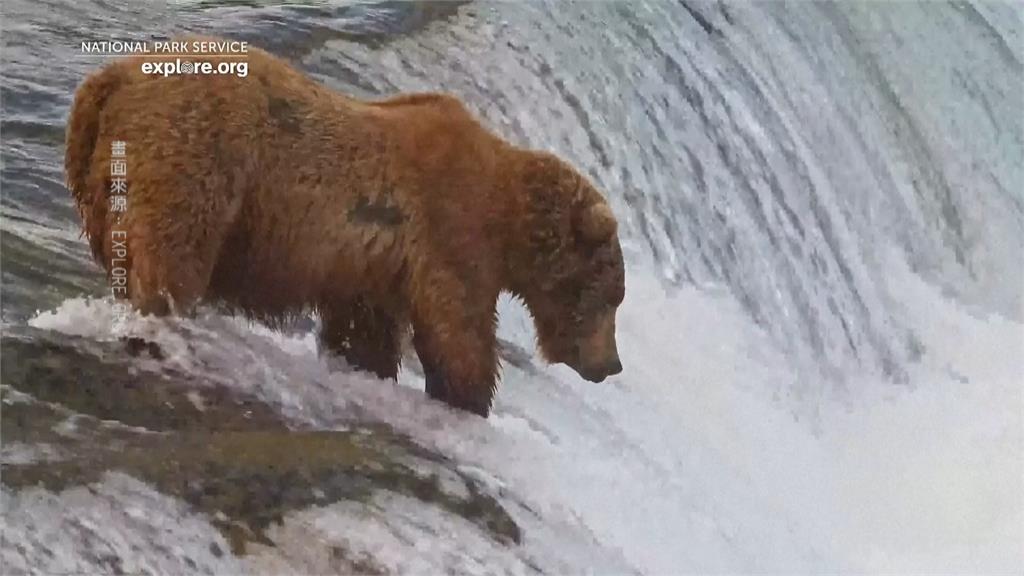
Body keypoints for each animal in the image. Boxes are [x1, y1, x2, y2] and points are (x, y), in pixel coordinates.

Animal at [64, 37, 625, 417]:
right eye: (610, 298)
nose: (612, 366)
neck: (509, 220)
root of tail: (110, 79)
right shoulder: (451, 234)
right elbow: (458, 331)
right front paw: (467, 396)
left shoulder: (373, 268)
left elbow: (364, 332)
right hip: (197, 155)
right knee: (174, 253)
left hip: (96, 178)